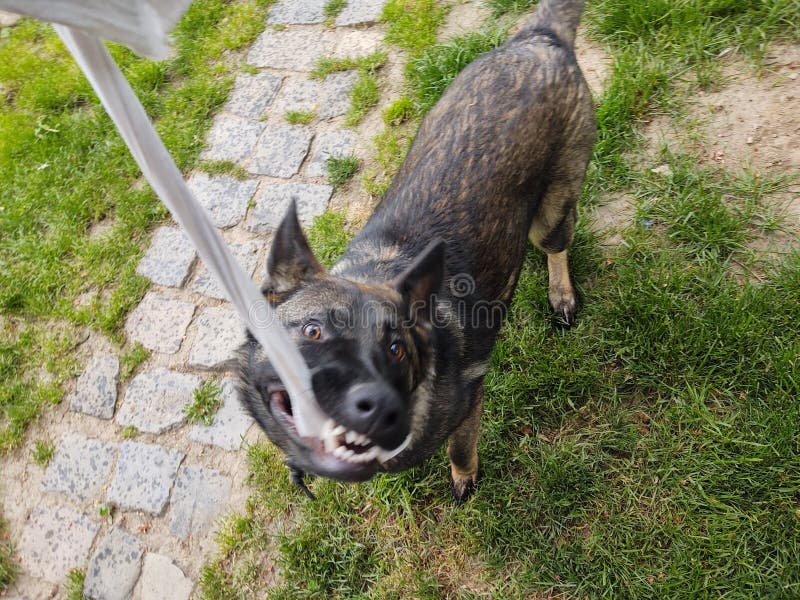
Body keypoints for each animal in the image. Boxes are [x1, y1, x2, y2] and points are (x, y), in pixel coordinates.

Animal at [238, 0, 592, 502]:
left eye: (395, 349)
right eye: (312, 331)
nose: (368, 403)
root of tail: (539, 39)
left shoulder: (470, 394)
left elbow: (460, 447)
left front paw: (464, 479)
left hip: (551, 211)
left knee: (556, 244)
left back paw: (560, 294)